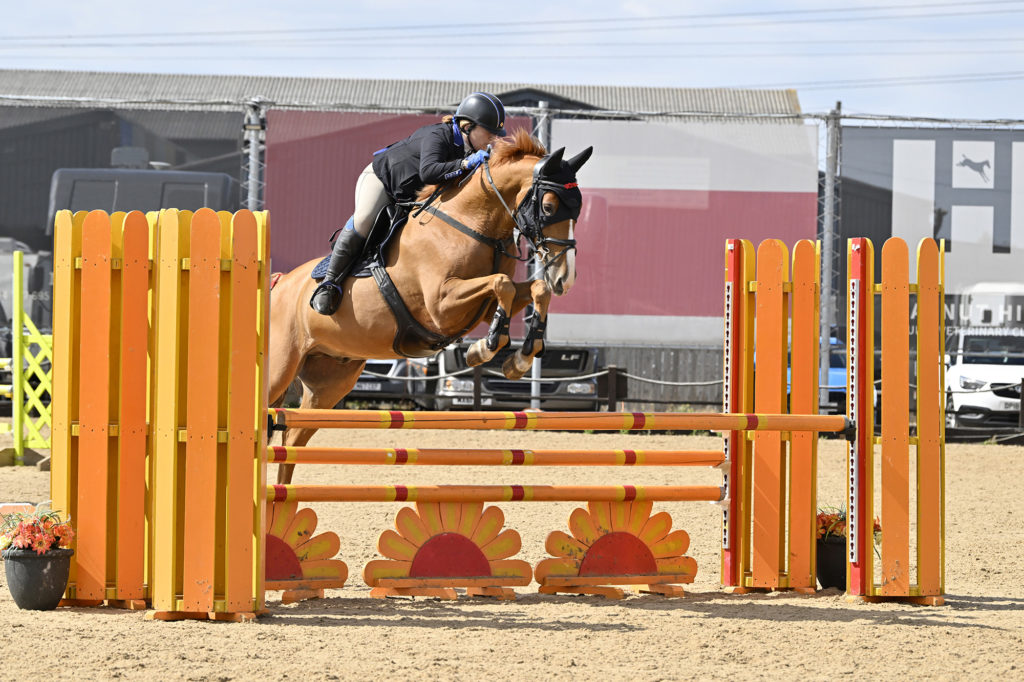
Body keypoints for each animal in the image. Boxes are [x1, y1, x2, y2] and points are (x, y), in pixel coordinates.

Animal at [268, 129, 593, 484]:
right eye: (548, 207)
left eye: (577, 210)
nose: (565, 278)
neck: (469, 222)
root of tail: (278, 284)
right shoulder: (441, 305)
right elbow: (502, 283)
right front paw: (487, 346)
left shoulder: (477, 304)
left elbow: (534, 289)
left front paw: (517, 358)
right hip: (280, 369)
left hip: (330, 381)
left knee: (291, 442)